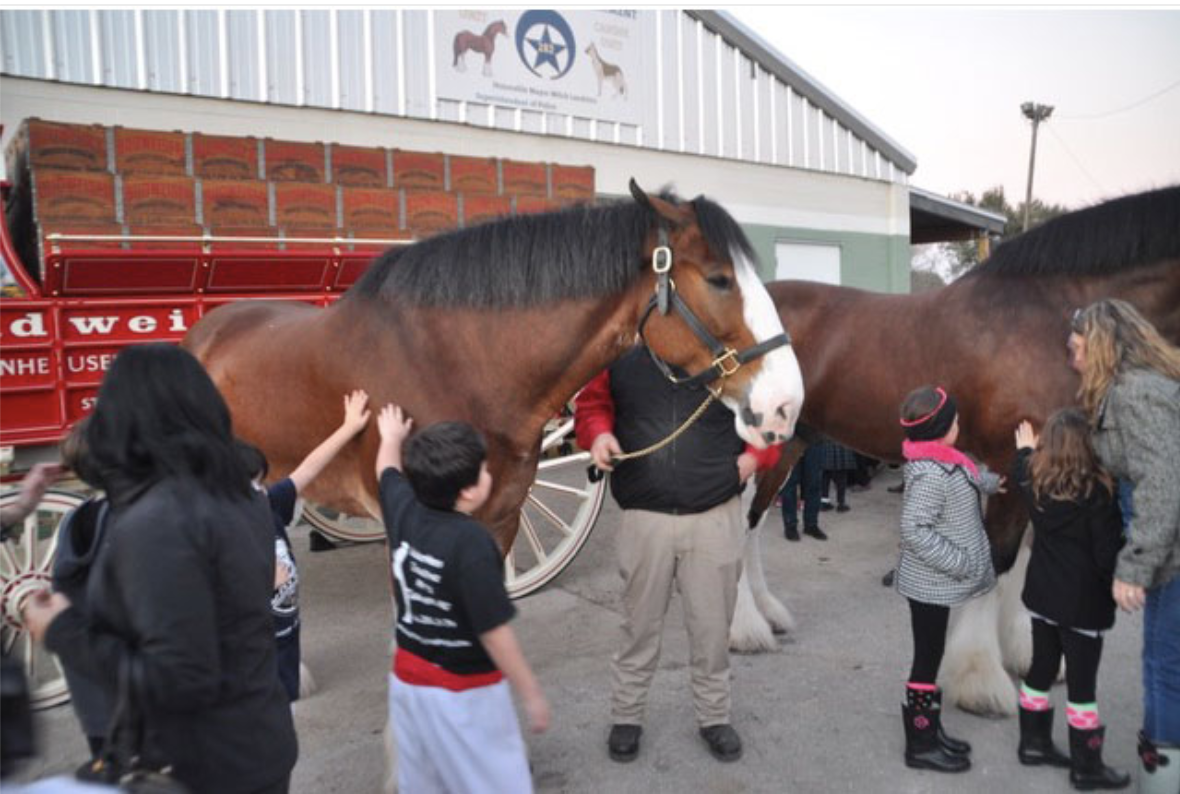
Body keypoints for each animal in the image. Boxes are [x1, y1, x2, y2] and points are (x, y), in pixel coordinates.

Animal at [728, 185, 1180, 716]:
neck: (1049, 315)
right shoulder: (1008, 463)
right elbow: (997, 560)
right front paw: (979, 679)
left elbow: (1020, 562)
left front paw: (1023, 654)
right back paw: (743, 630)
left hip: (790, 444)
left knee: (753, 525)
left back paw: (765, 615)